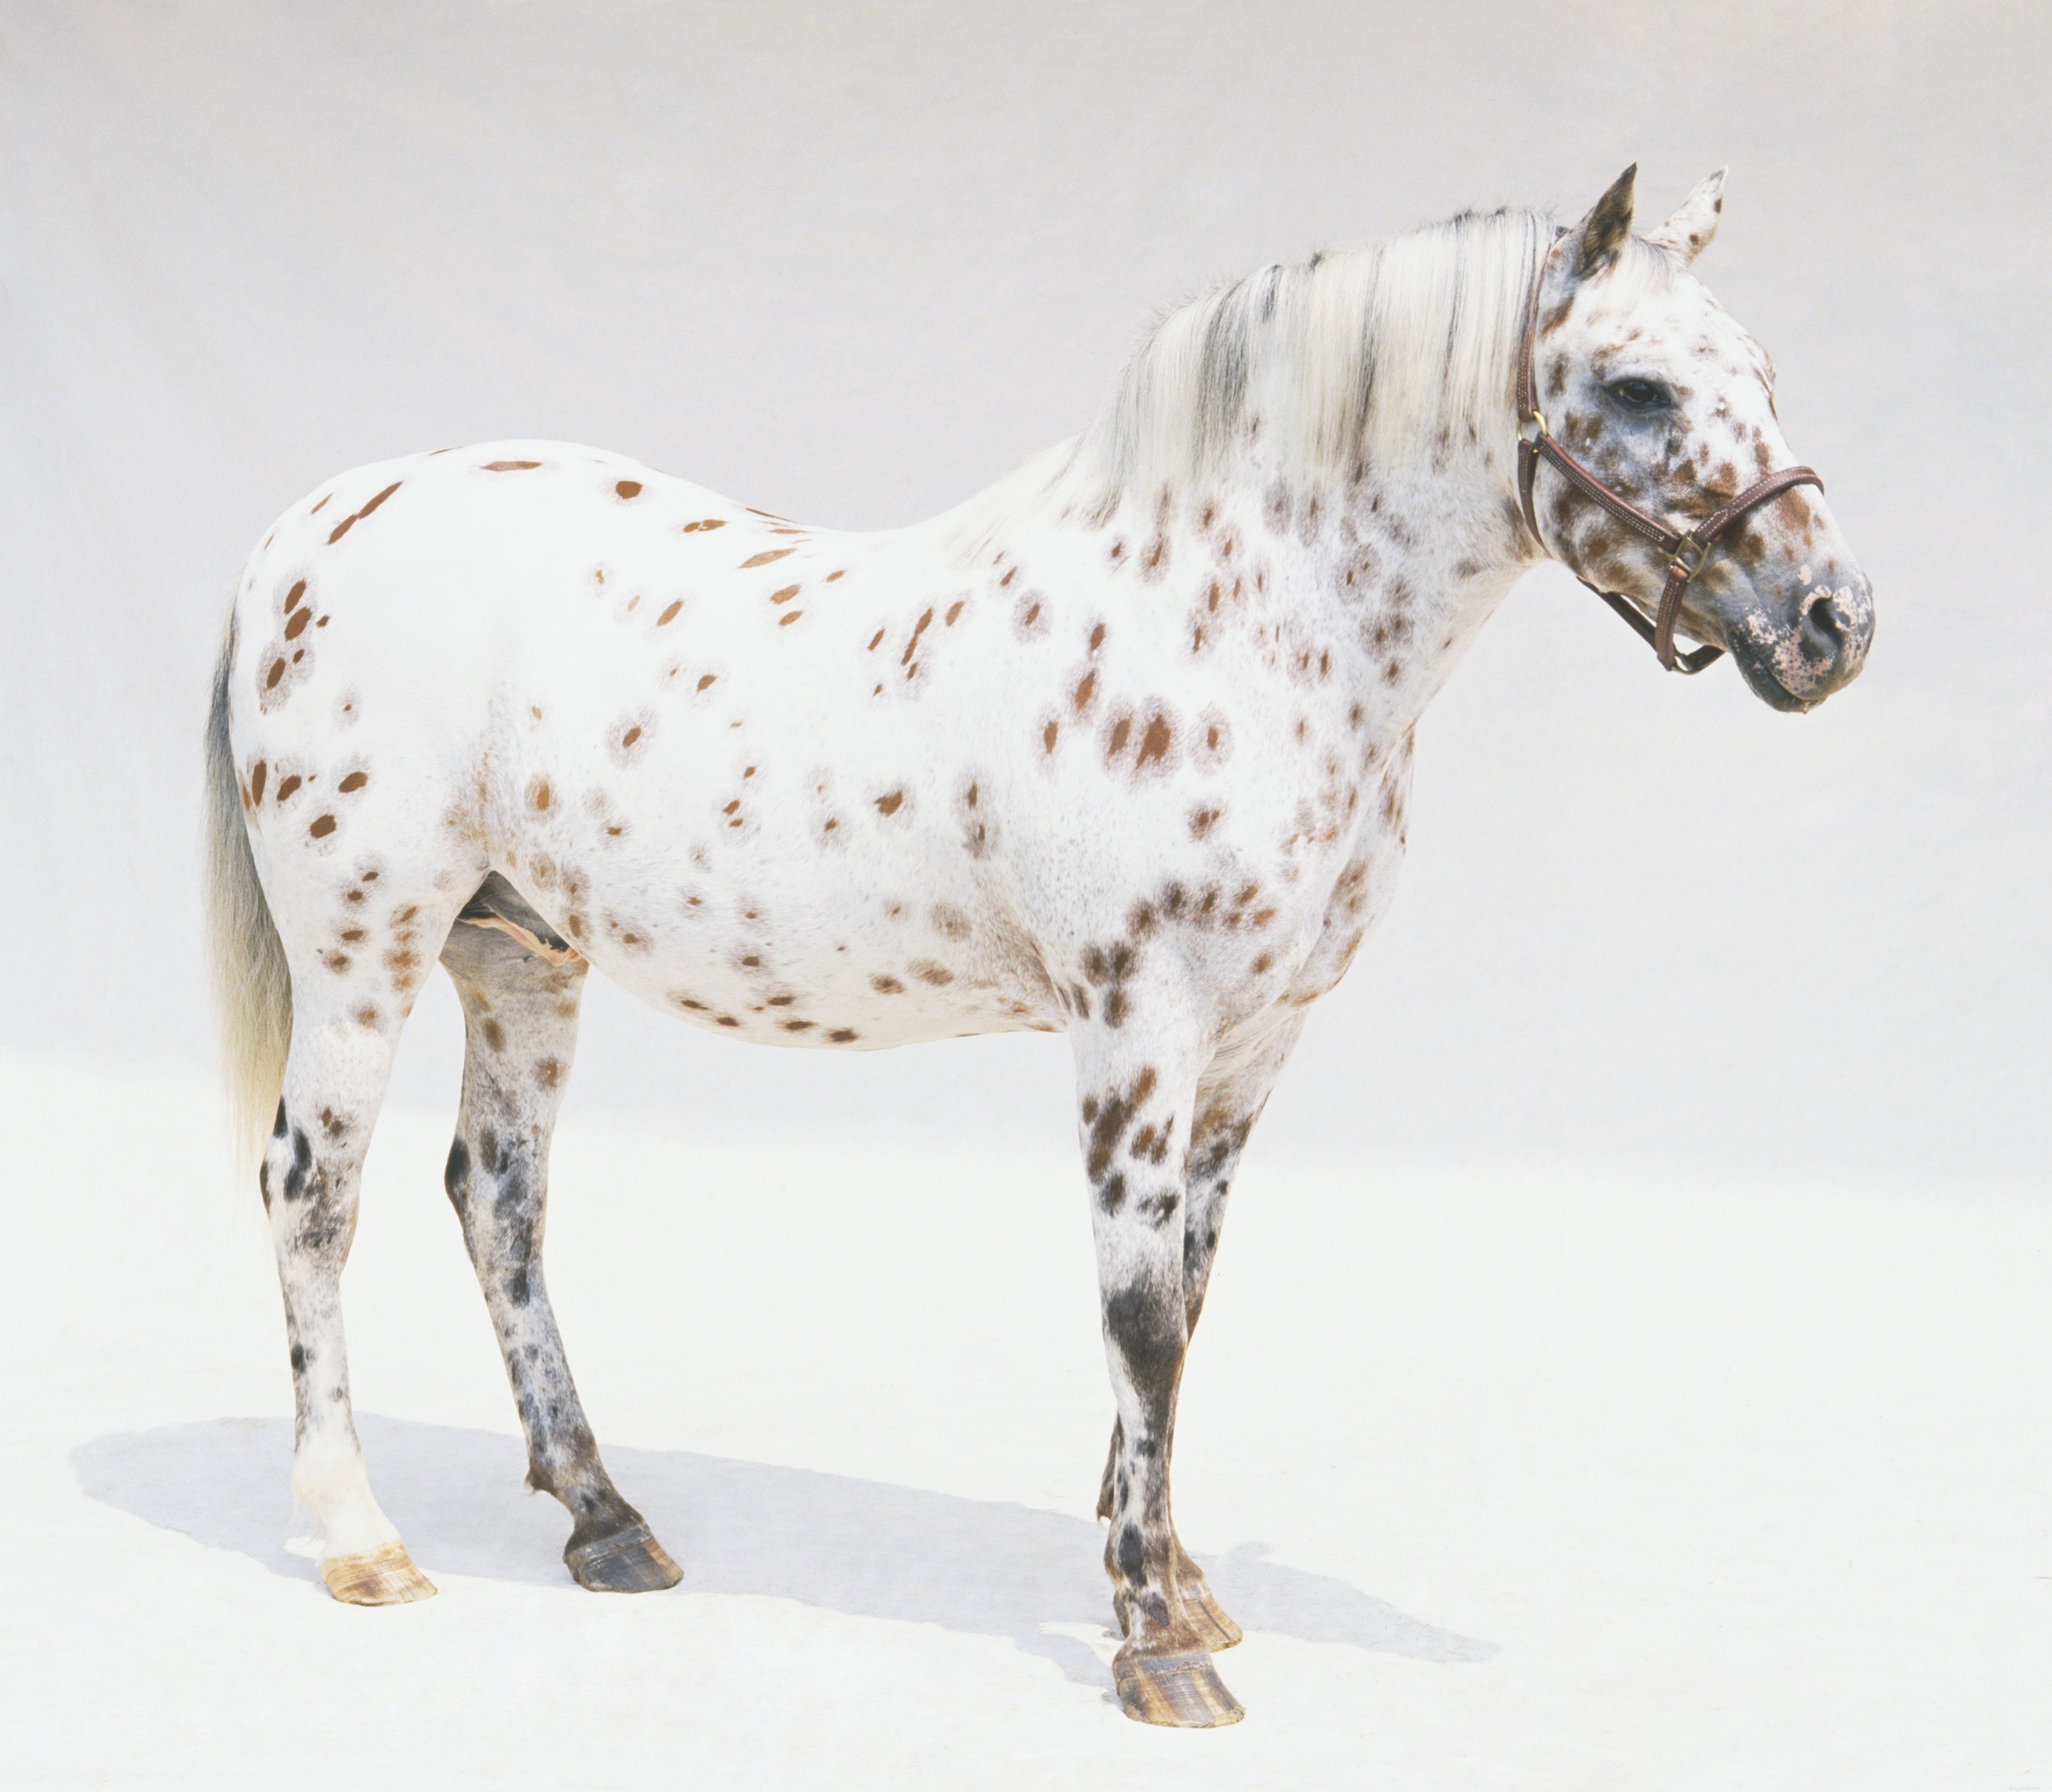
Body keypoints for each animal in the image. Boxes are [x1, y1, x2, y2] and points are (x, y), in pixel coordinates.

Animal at [204, 166, 1873, 1727]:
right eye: (1640, 388)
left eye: (1761, 371)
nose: (1832, 623)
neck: (1237, 627)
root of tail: (310, 525)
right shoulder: (1137, 1019)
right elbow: (1136, 1317)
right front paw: (1151, 1643)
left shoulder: (1255, 1040)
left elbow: (1187, 1304)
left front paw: (1183, 1585)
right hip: (364, 952)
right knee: (314, 1195)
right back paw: (361, 1539)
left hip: (520, 958)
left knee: (498, 1201)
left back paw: (606, 1520)